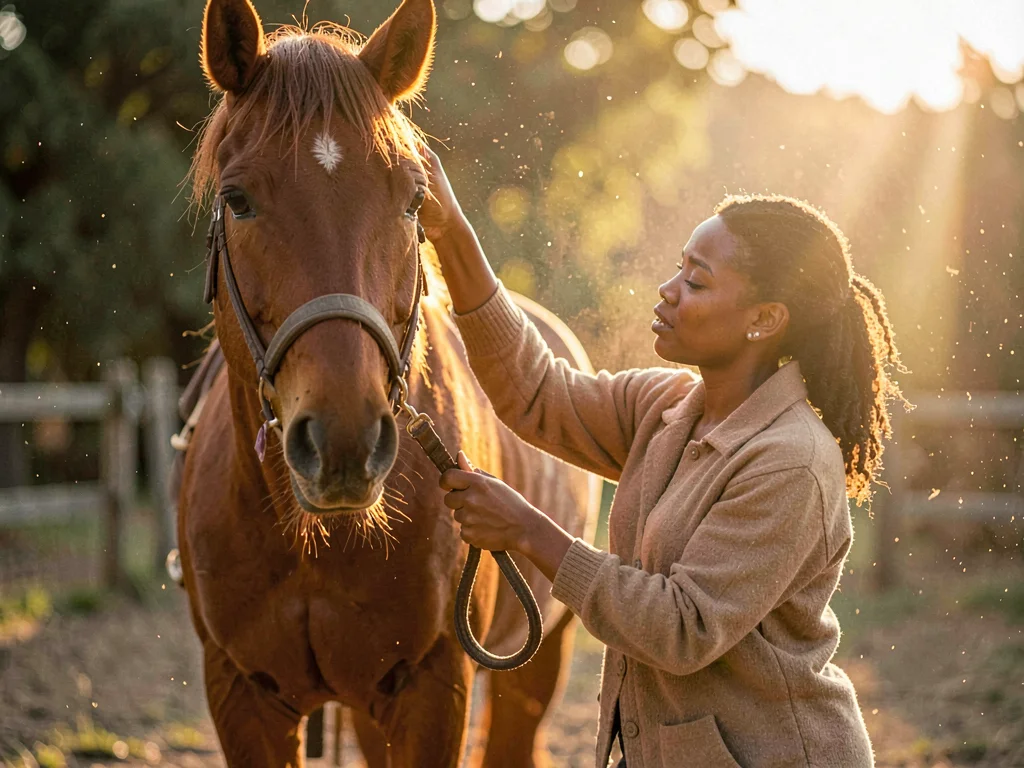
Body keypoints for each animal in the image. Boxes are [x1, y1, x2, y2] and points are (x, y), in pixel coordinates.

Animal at [176, 0, 601, 765]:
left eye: (413, 200)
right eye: (238, 199)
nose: (344, 440)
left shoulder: (436, 687)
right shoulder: (239, 692)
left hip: (538, 660)